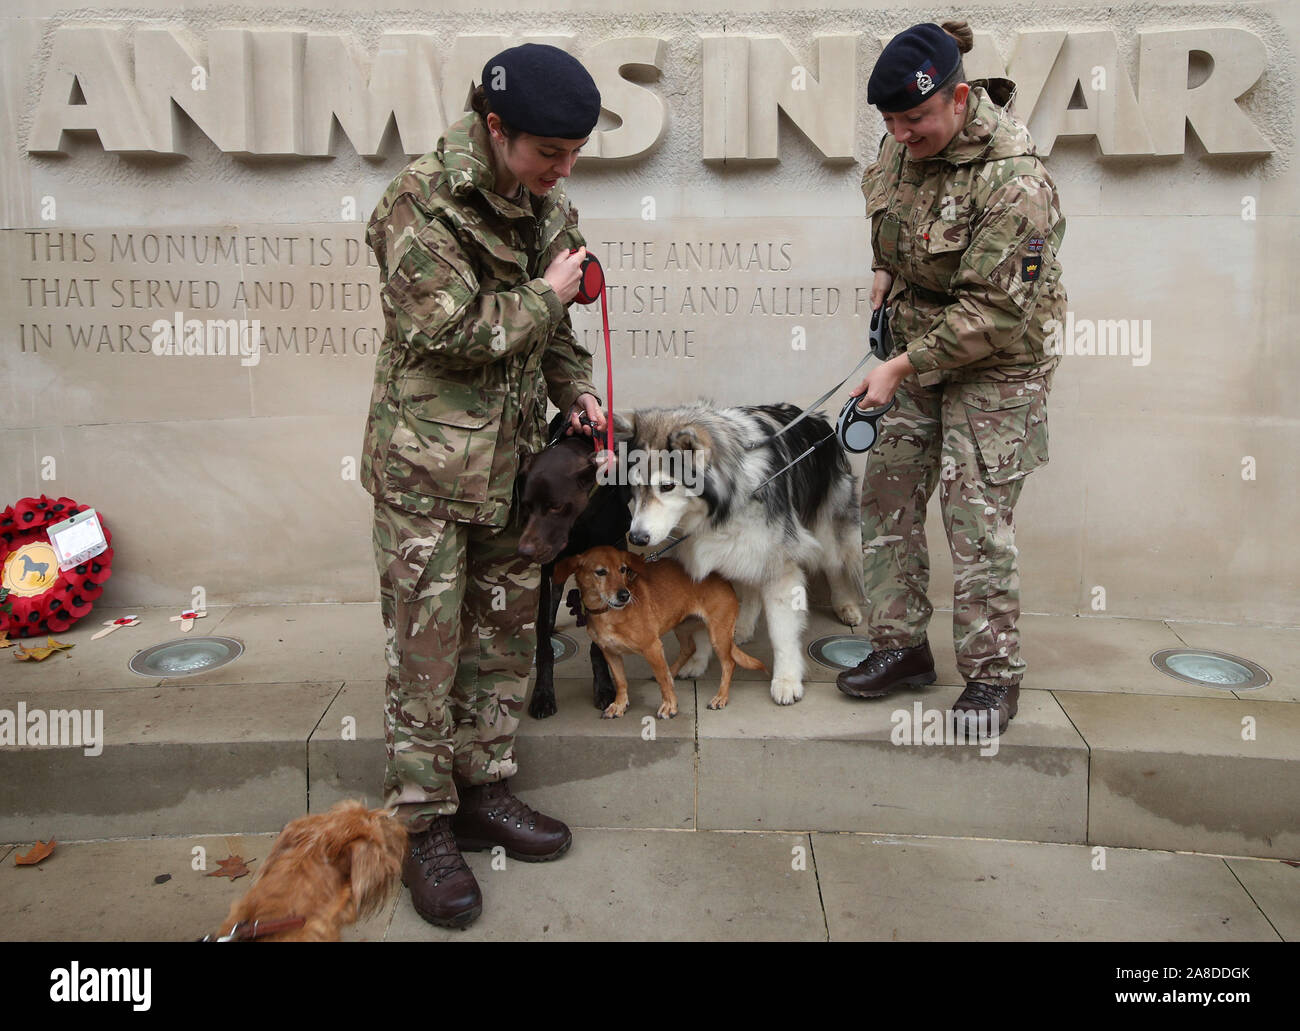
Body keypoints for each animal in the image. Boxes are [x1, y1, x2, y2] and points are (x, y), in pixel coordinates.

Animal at [553, 546, 764, 717]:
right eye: (600, 572)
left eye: (623, 569)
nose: (624, 595)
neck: (608, 612)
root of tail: (722, 577)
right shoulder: (610, 653)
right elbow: (621, 681)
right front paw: (619, 705)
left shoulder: (652, 647)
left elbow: (663, 682)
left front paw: (669, 706)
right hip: (681, 625)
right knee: (689, 648)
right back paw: (673, 671)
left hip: (718, 635)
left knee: (729, 663)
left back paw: (720, 697)